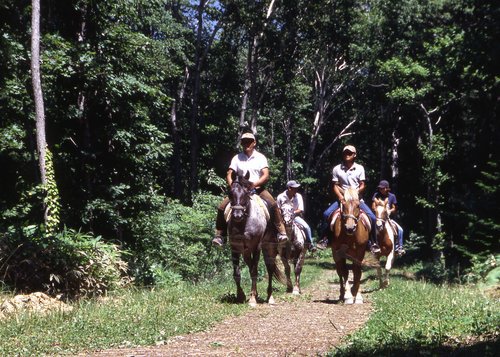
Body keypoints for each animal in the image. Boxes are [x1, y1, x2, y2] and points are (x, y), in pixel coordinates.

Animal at [227, 172, 286, 306]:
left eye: (246, 193)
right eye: (231, 193)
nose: (237, 215)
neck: (244, 223)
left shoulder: (257, 247)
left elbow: (254, 271)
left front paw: (253, 299)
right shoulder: (235, 247)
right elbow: (237, 273)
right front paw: (241, 295)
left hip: (269, 247)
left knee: (269, 269)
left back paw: (270, 297)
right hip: (246, 251)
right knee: (251, 266)